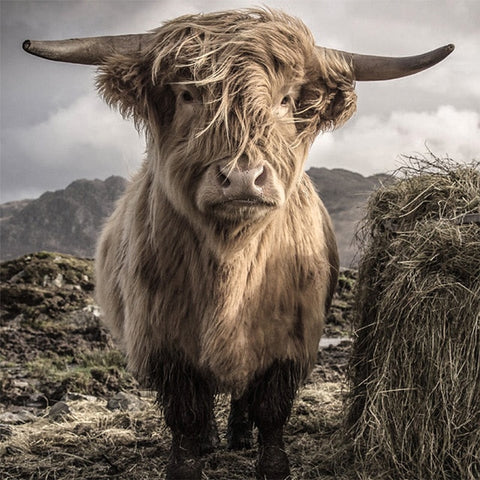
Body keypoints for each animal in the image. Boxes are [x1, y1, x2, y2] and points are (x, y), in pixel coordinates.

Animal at [24, 8, 454, 480]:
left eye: (285, 99)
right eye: (188, 94)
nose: (244, 177)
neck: (230, 262)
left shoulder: (288, 341)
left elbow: (271, 408)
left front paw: (273, 465)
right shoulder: (164, 340)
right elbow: (185, 412)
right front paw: (187, 464)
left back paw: (239, 435)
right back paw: (212, 439)